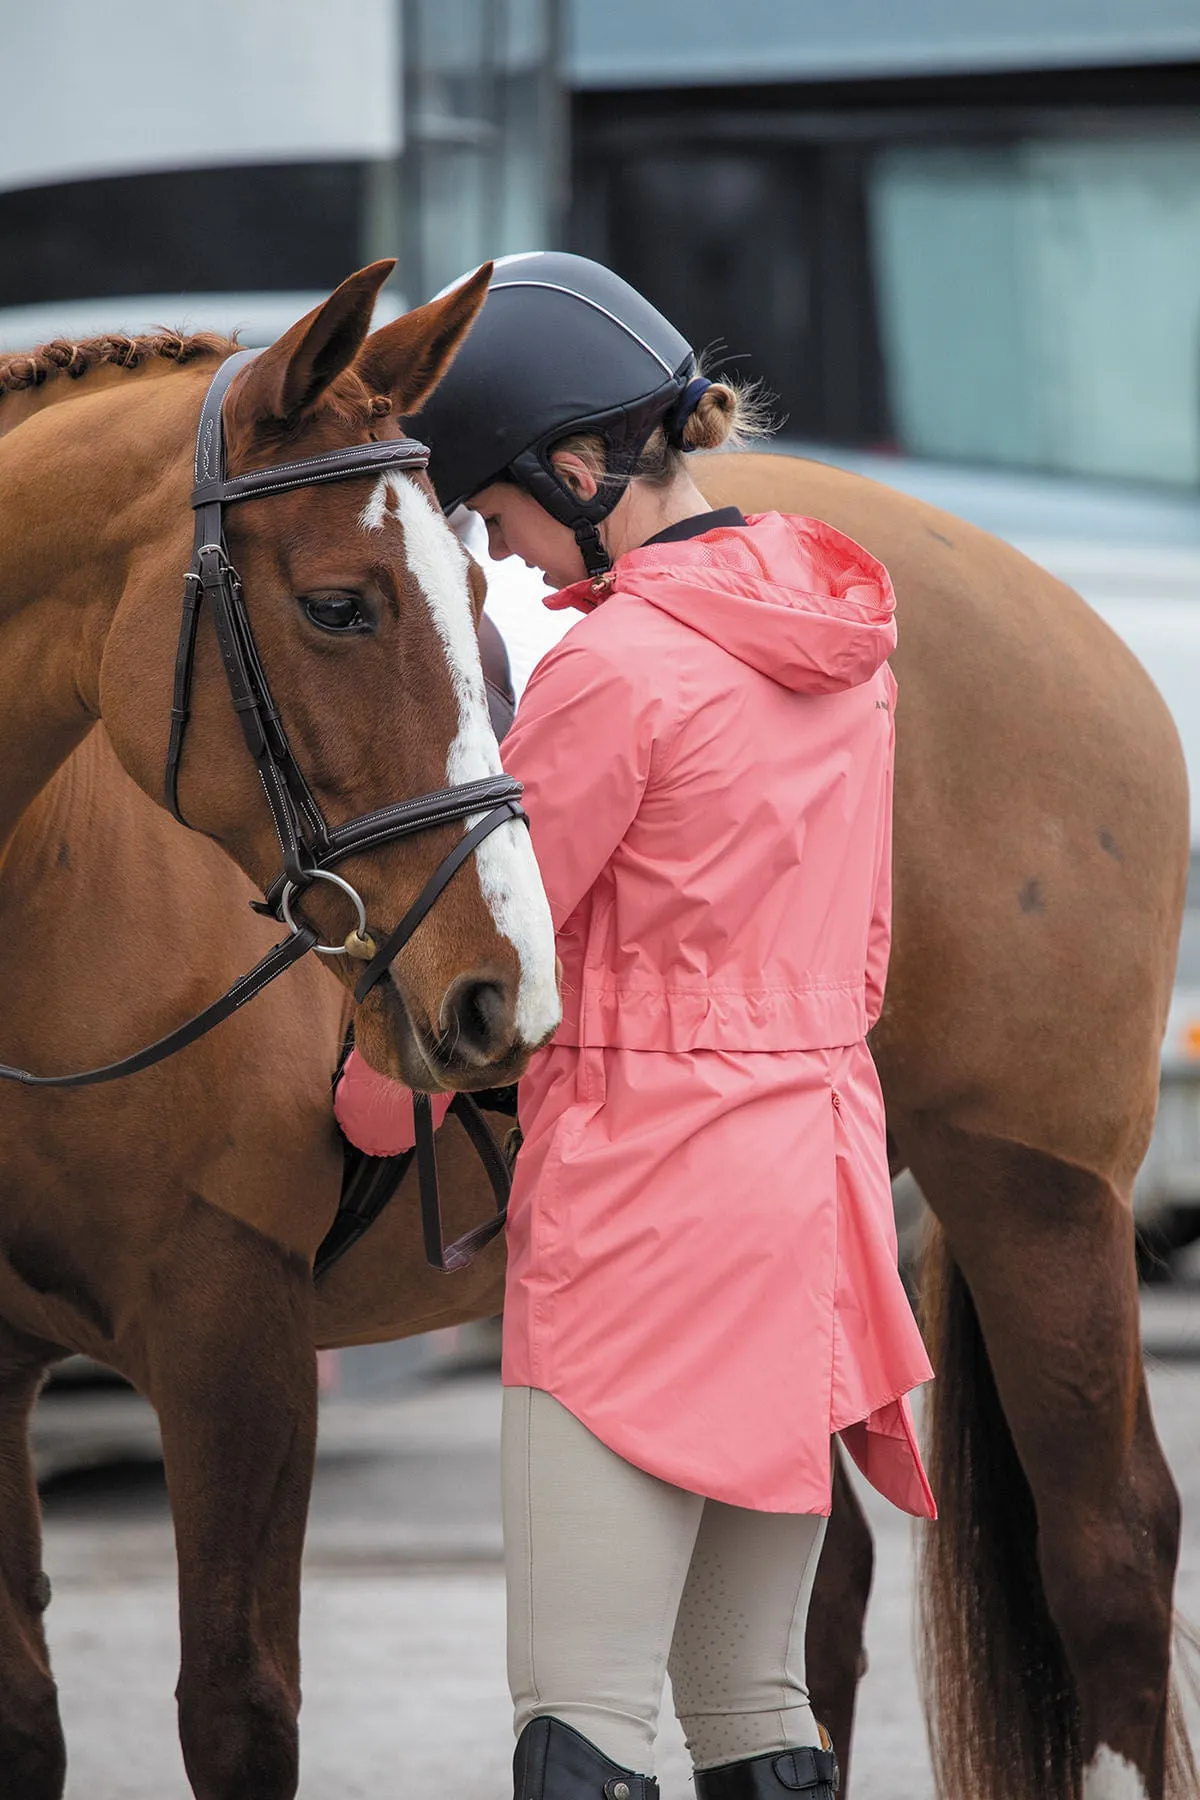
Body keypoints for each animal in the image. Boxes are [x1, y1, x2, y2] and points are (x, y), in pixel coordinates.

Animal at [0, 266, 564, 1800]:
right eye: (336, 607)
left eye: (478, 588)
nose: (505, 994)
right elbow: (22, 1715)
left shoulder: (235, 1340)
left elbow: (237, 1713)